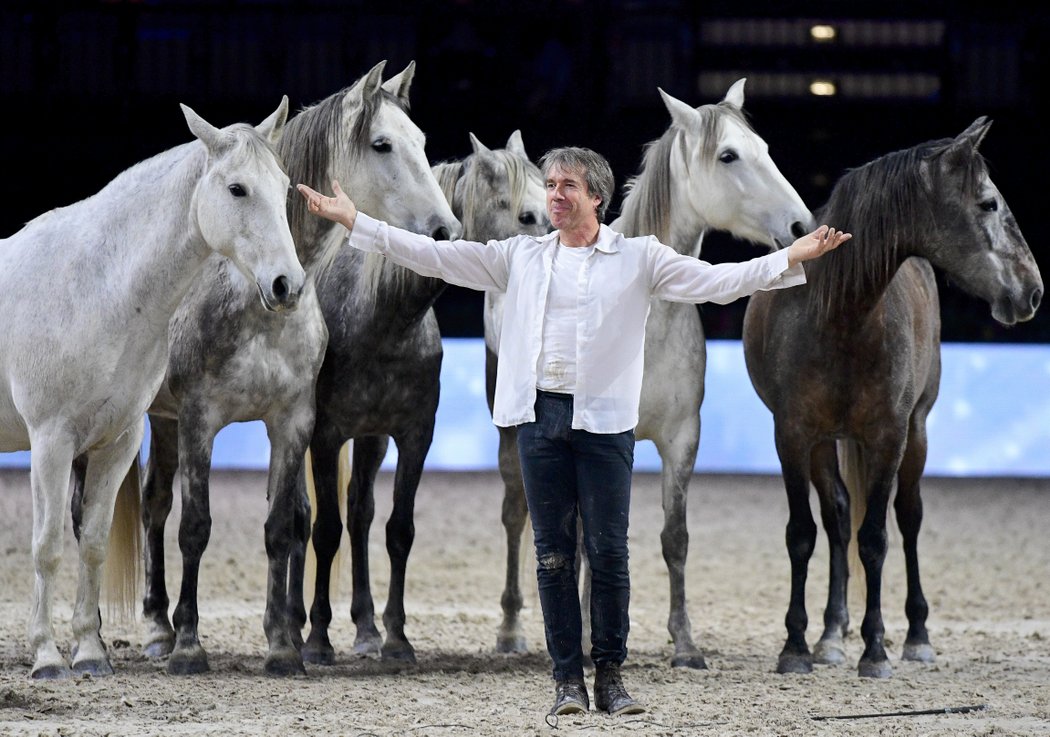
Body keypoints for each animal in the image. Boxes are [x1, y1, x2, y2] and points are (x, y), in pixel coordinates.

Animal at [0, 98, 304, 680]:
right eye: (237, 189)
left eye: (284, 186)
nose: (288, 285)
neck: (98, 285)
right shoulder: (50, 442)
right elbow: (48, 546)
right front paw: (47, 658)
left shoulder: (117, 443)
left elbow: (93, 544)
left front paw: (90, 655)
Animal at [294, 61, 461, 663]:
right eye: (382, 143)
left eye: (423, 142)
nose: (444, 232)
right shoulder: (321, 435)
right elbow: (323, 530)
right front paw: (317, 638)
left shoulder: (413, 435)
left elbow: (396, 527)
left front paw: (396, 638)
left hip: (368, 439)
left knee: (360, 511)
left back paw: (365, 629)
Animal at [489, 80, 810, 671]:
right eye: (728, 156)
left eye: (765, 149)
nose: (800, 227)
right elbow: (582, 541)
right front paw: (586, 639)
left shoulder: (681, 439)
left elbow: (672, 538)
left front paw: (685, 643)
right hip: (510, 439)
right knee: (518, 517)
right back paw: (511, 631)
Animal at [743, 118, 1045, 680]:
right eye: (989, 204)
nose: (1032, 291)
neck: (840, 316)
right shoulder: (793, 435)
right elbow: (804, 534)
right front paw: (797, 645)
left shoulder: (888, 436)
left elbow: (877, 539)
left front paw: (876, 650)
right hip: (826, 444)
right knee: (838, 518)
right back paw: (830, 635)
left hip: (917, 432)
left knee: (908, 518)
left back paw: (916, 636)